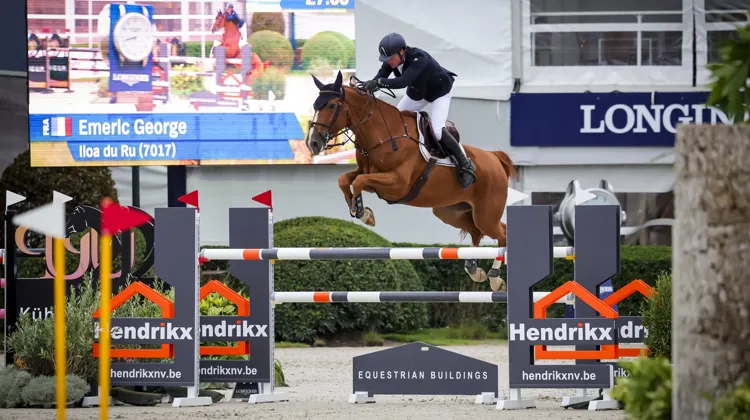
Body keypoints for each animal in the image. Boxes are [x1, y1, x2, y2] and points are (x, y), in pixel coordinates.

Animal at [306, 71, 518, 292]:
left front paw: (363, 214)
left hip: (486, 214)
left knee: (501, 233)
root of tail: (494, 158)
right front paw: (359, 209)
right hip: (450, 211)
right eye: (315, 105)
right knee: (476, 232)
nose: (313, 143)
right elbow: (345, 179)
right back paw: (474, 269)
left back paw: (494, 278)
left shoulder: (397, 183)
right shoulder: (368, 174)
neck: (381, 134)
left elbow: (359, 182)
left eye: (332, 105)